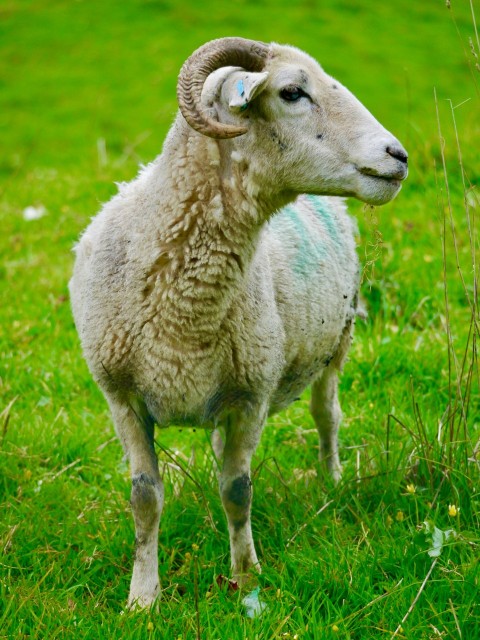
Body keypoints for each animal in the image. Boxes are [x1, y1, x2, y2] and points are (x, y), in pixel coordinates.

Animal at [70, 37, 408, 608]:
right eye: (292, 92)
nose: (398, 156)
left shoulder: (252, 395)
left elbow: (237, 490)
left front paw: (246, 579)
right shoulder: (122, 397)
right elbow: (145, 498)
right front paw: (143, 597)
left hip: (336, 343)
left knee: (327, 416)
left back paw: (332, 481)